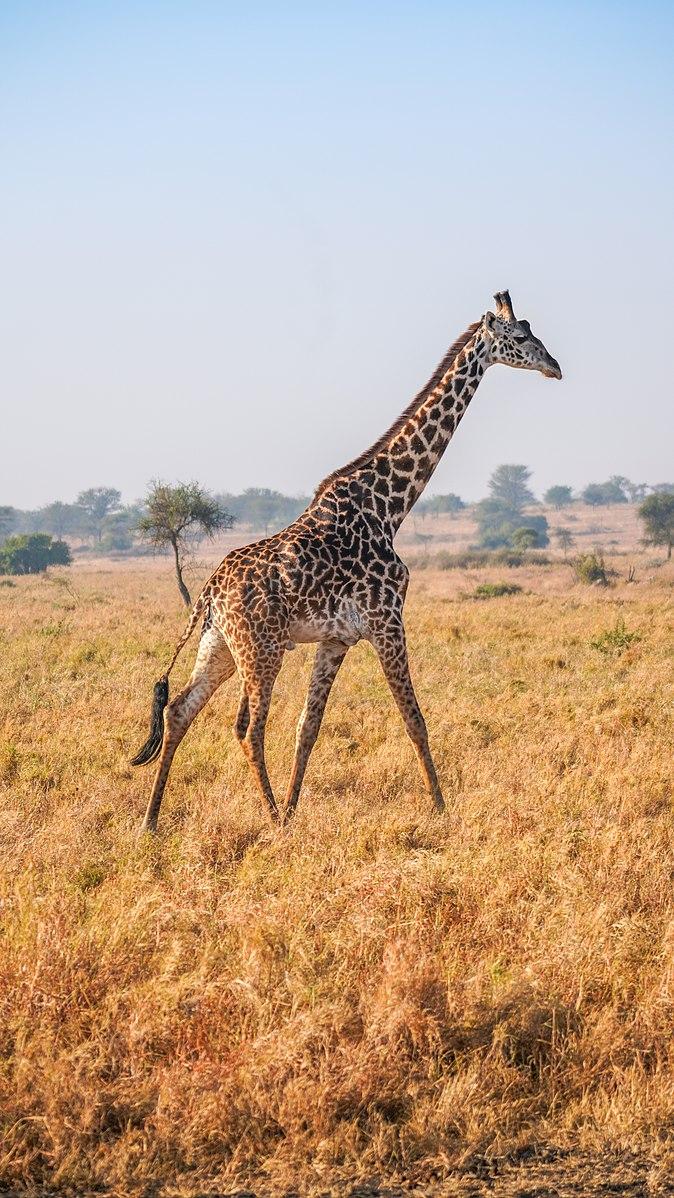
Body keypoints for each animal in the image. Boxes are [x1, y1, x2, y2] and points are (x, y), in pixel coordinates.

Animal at [132, 290, 561, 833]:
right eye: (521, 336)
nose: (555, 367)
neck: (390, 506)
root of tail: (208, 591)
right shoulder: (387, 621)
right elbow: (415, 720)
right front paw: (440, 809)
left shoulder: (337, 638)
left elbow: (308, 728)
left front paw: (297, 806)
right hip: (261, 649)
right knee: (247, 728)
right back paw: (270, 818)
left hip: (220, 646)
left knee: (179, 712)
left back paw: (152, 820)